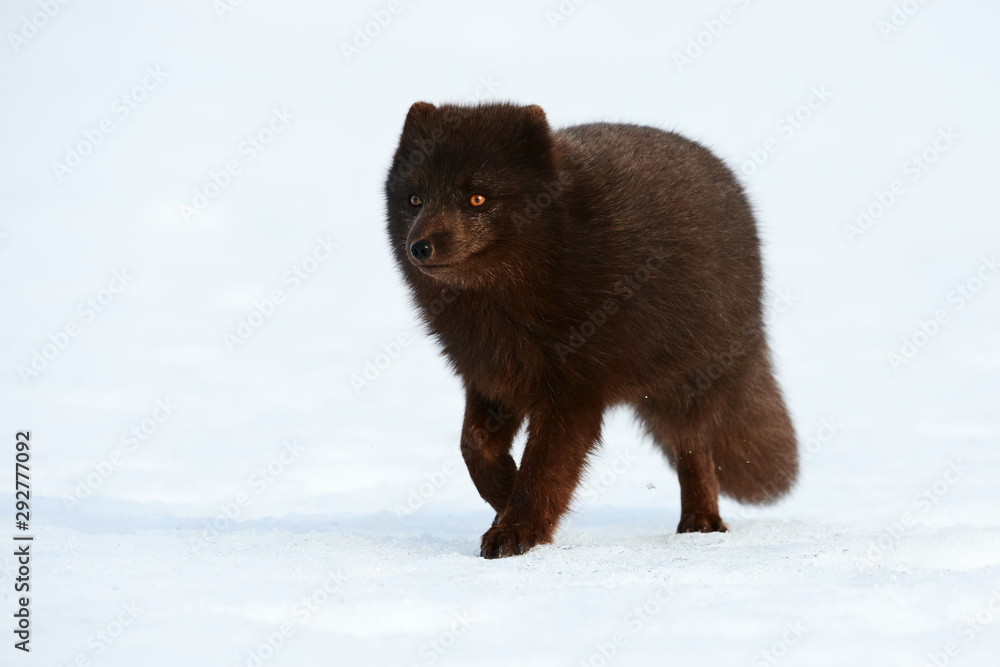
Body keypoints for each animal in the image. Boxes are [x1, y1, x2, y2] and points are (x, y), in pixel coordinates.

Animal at [382, 100, 796, 560]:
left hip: (690, 380)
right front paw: (503, 494)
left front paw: (516, 529)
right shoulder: (491, 375)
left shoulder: (573, 391)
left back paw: (701, 522)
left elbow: (544, 467)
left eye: (476, 198)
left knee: (694, 448)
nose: (419, 247)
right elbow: (474, 445)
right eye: (415, 198)